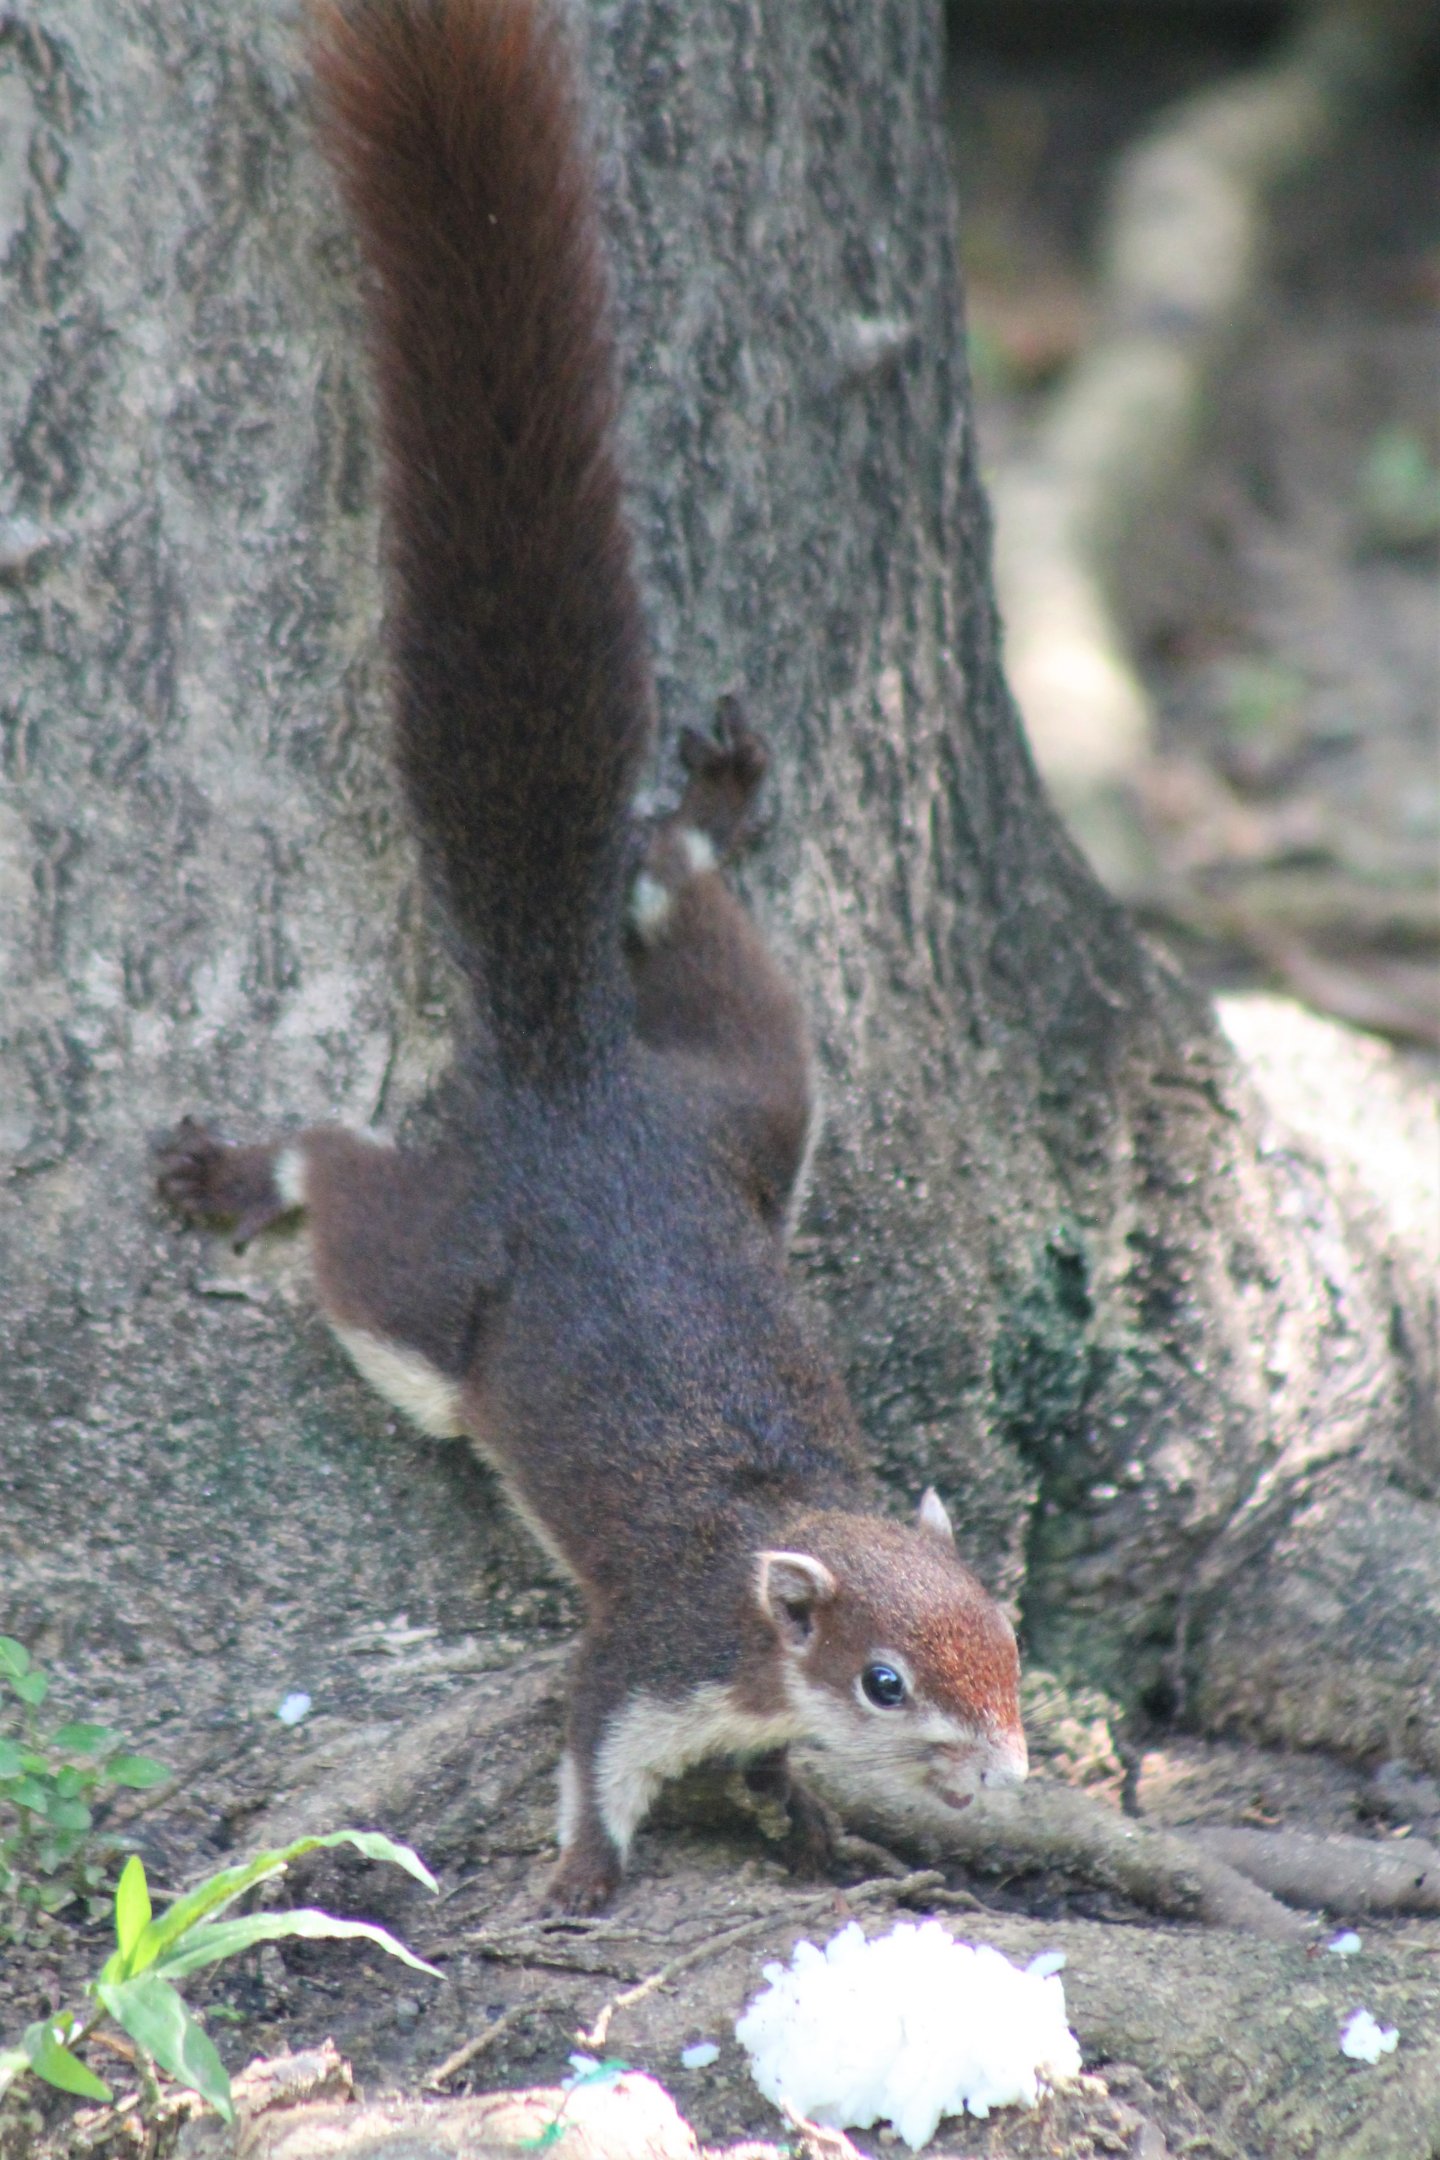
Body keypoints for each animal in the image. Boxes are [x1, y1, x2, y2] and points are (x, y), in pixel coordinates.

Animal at [155, 0, 1027, 1912]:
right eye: (887, 1677)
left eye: (1011, 1635)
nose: (1006, 1773)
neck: (772, 1535)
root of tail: (566, 1080)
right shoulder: (651, 1645)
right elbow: (591, 1740)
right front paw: (578, 1878)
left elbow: (762, 1775)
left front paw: (801, 1822)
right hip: (428, 1298)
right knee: (351, 1197)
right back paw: (243, 1168)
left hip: (752, 1108)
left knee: (709, 951)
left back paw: (693, 819)